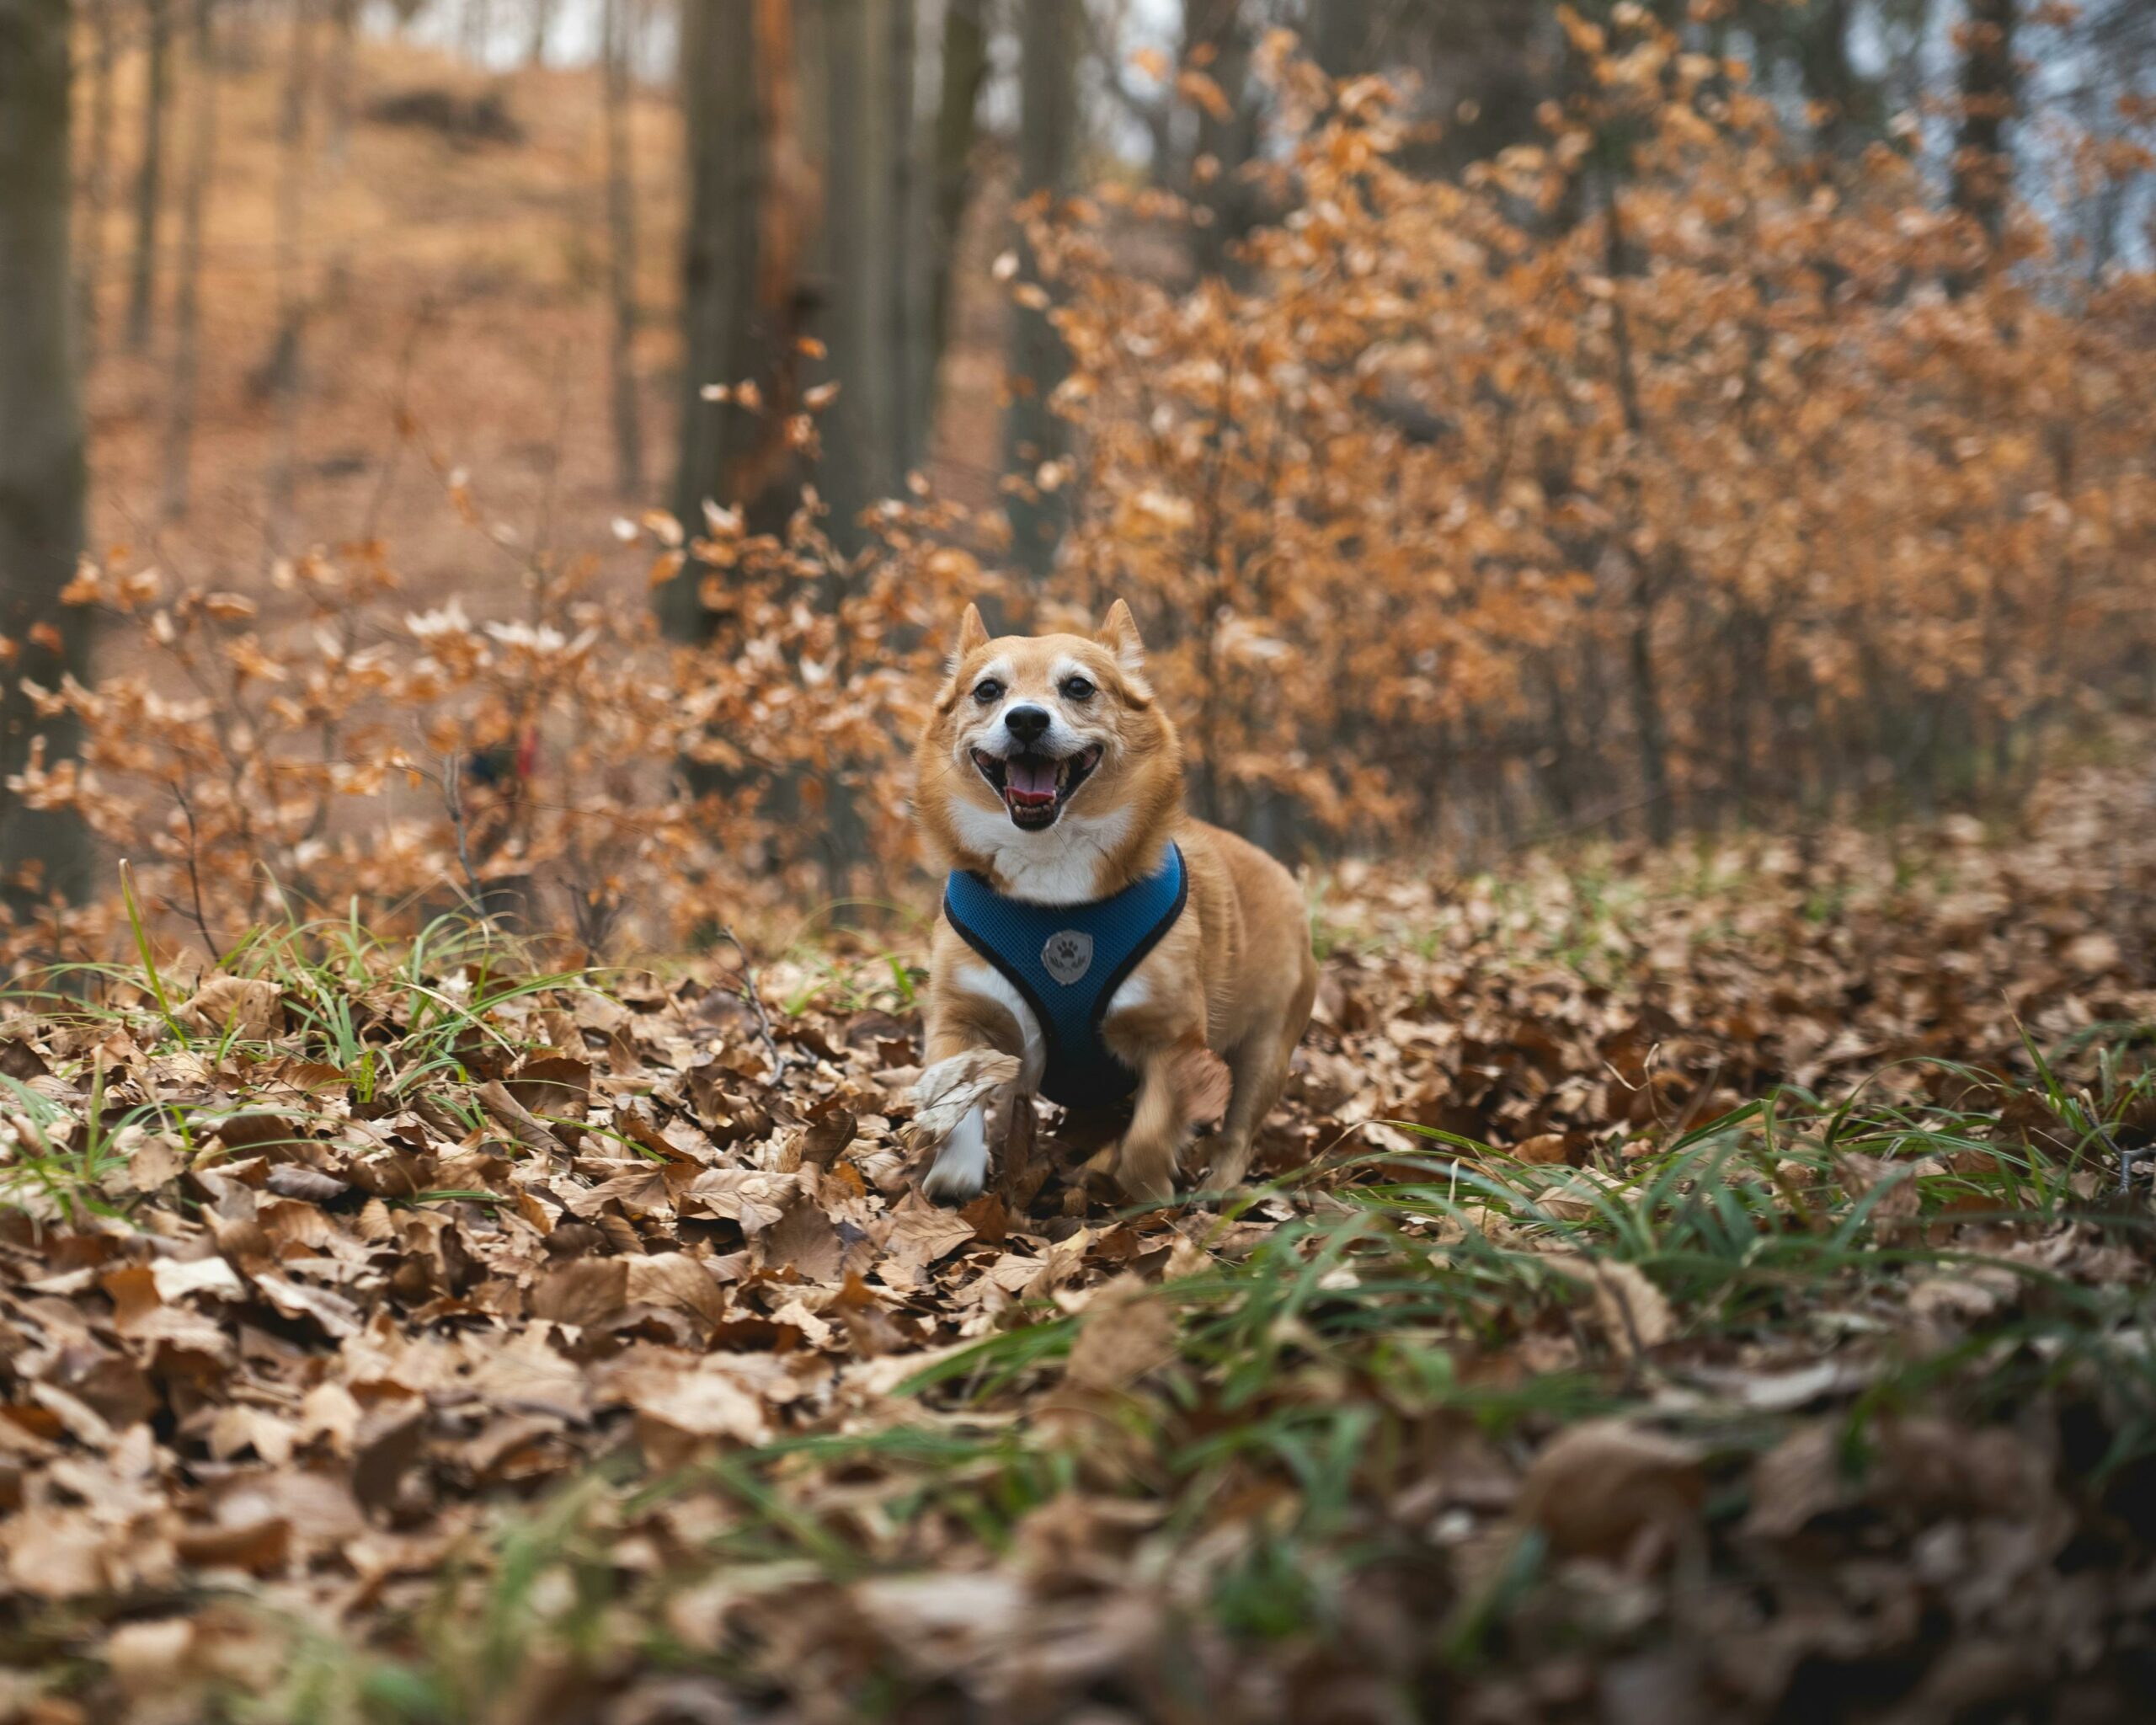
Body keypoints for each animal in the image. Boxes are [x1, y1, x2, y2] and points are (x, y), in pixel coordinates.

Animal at [910, 607, 1310, 1215]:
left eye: (1079, 687)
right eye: (988, 690)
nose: (1026, 720)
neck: (1052, 875)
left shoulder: (1171, 1040)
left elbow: (1148, 1139)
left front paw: (1145, 1196)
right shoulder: (961, 1018)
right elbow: (955, 1097)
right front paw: (956, 1173)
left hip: (1265, 1053)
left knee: (1238, 1135)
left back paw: (1215, 1191)